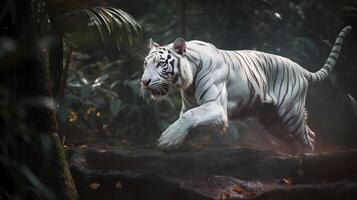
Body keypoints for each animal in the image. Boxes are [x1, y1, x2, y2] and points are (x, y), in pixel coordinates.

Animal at [140, 26, 350, 152]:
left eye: (160, 64)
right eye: (145, 64)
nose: (144, 82)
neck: (188, 81)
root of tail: (301, 69)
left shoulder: (216, 107)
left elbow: (188, 118)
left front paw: (167, 139)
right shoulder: (190, 106)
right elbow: (187, 121)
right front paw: (178, 141)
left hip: (292, 114)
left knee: (310, 136)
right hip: (272, 120)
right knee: (292, 138)